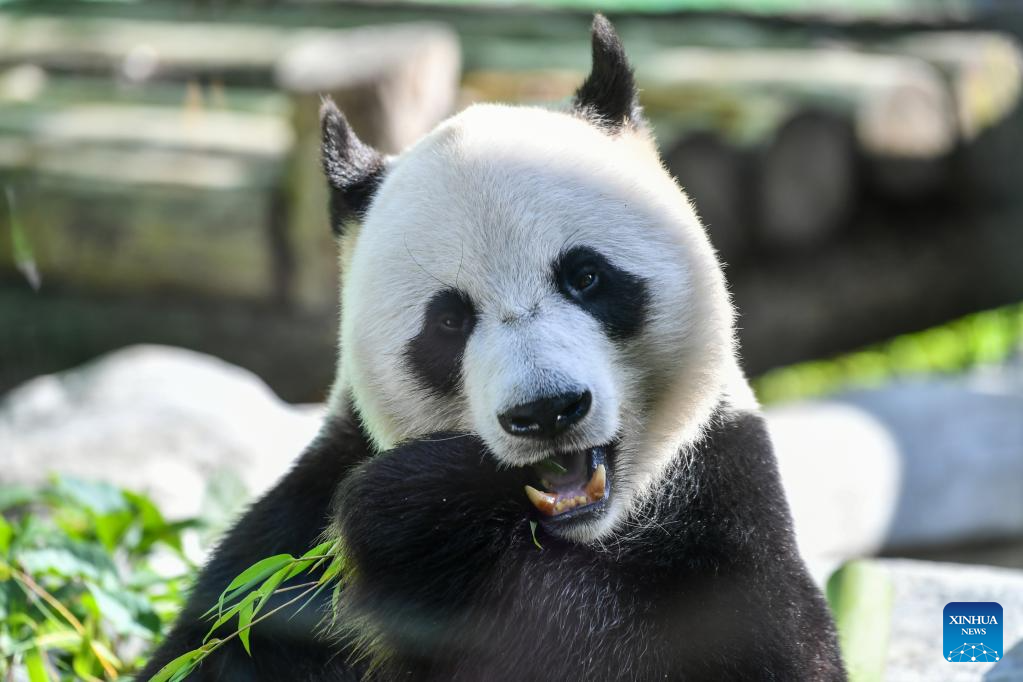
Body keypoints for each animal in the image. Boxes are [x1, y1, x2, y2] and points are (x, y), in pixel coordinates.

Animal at [141, 15, 846, 681]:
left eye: (585, 277)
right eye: (449, 321)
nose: (547, 411)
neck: (566, 535)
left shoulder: (725, 501)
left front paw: (421, 513)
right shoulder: (286, 550)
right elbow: (219, 643)